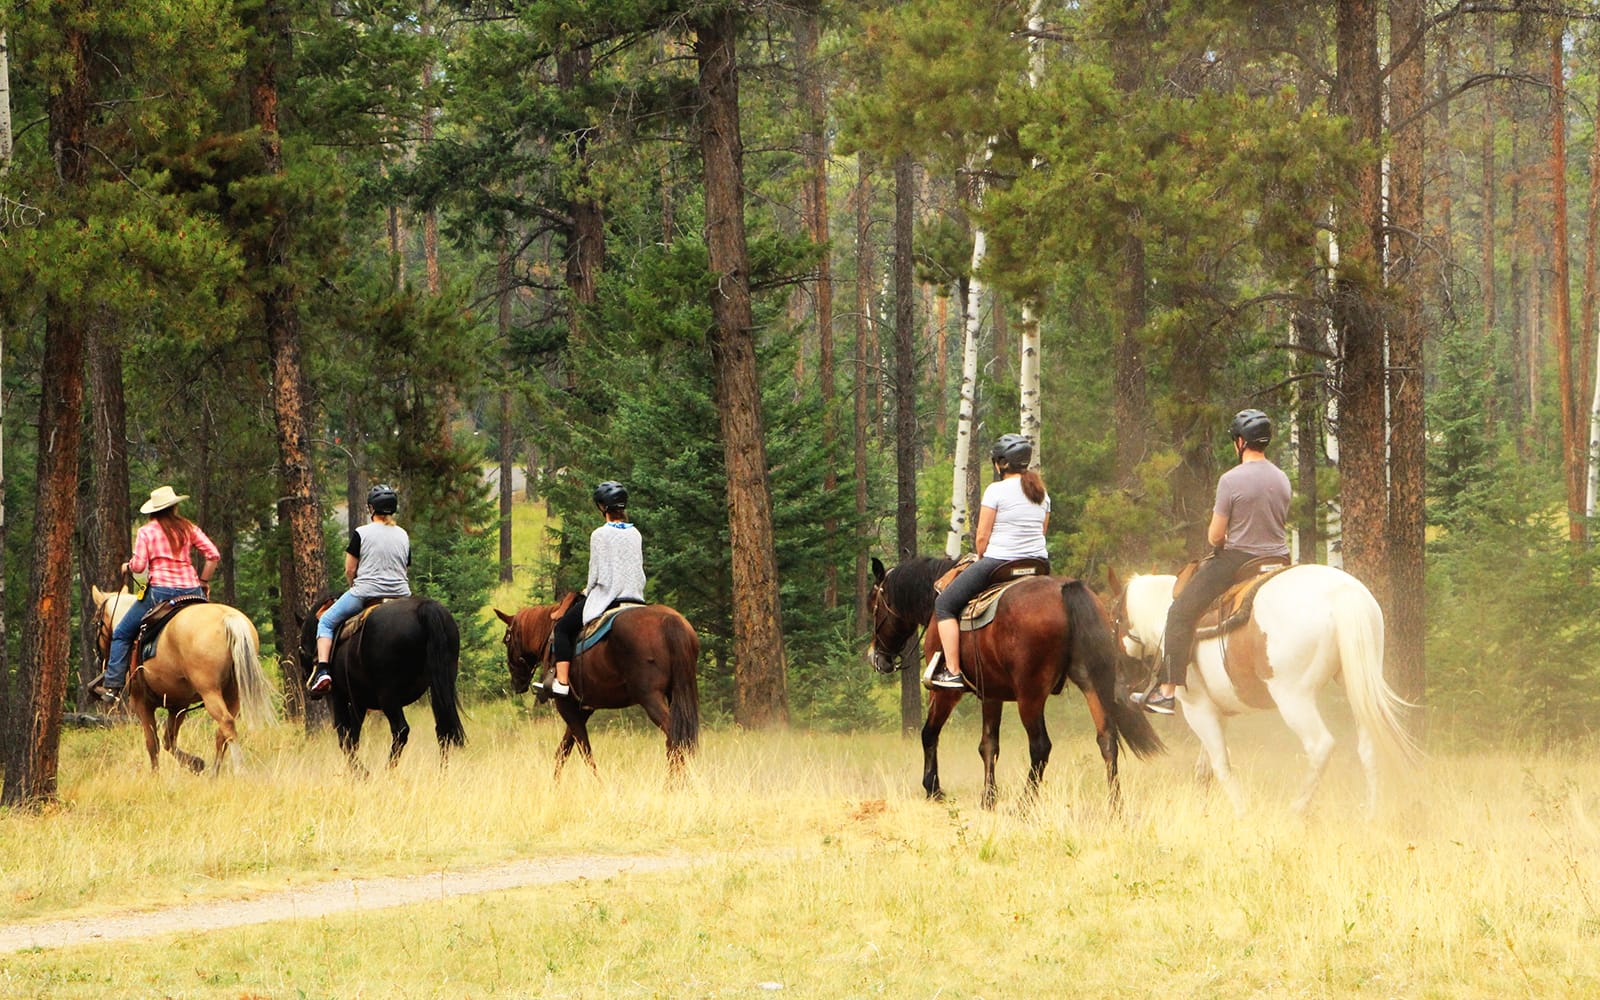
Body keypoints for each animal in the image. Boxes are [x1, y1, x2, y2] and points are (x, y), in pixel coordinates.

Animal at [91, 586, 276, 774]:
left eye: (95, 622)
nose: (98, 658)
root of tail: (228, 619)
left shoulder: (142, 703)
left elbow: (153, 743)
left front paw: (156, 775)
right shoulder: (178, 705)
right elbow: (169, 740)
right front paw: (195, 763)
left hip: (210, 692)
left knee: (226, 723)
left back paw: (239, 768)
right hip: (234, 694)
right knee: (221, 734)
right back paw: (214, 772)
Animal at [297, 595, 466, 772]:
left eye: (300, 650)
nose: (309, 686)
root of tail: (424, 608)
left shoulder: (337, 697)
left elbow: (344, 736)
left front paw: (361, 772)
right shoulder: (359, 702)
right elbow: (354, 737)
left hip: (388, 695)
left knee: (401, 730)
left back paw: (387, 771)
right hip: (440, 686)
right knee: (443, 729)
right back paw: (442, 773)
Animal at [495, 596, 700, 777]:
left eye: (506, 640)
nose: (516, 683)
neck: (548, 637)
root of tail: (671, 621)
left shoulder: (566, 705)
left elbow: (584, 751)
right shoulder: (583, 708)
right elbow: (564, 750)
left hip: (650, 698)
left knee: (674, 737)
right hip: (680, 692)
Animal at [867, 557, 1165, 809]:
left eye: (874, 604)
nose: (876, 657)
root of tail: (1065, 590)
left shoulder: (944, 693)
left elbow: (929, 733)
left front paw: (933, 788)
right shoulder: (991, 693)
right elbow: (988, 745)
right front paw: (988, 798)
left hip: (1030, 695)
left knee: (1041, 746)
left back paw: (1024, 804)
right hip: (1091, 682)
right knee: (1107, 740)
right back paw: (1115, 806)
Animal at [1109, 564, 1423, 816]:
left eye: (1115, 619)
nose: (1122, 686)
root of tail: (1343, 593)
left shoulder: (1198, 709)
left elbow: (1221, 766)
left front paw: (1241, 812)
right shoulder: (1215, 712)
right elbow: (1204, 770)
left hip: (1293, 699)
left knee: (1320, 746)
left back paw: (1296, 808)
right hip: (1356, 687)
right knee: (1368, 748)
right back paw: (1370, 814)